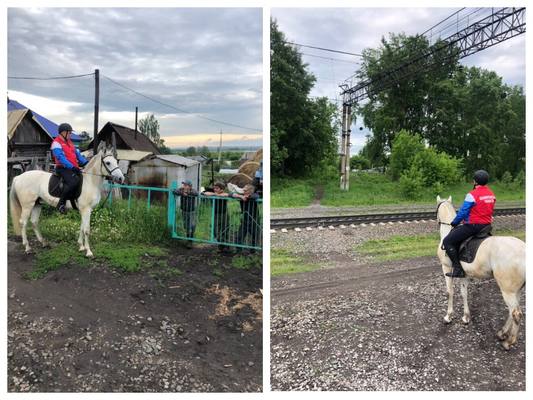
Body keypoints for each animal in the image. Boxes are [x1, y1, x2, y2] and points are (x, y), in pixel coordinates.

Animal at [436, 195, 524, 348]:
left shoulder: (446, 268)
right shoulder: (463, 273)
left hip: (507, 290)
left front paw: (448, 316)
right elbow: (464, 293)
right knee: (511, 312)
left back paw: (508, 342)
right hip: (515, 290)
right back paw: (502, 333)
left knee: (516, 314)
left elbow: (449, 292)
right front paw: (466, 317)